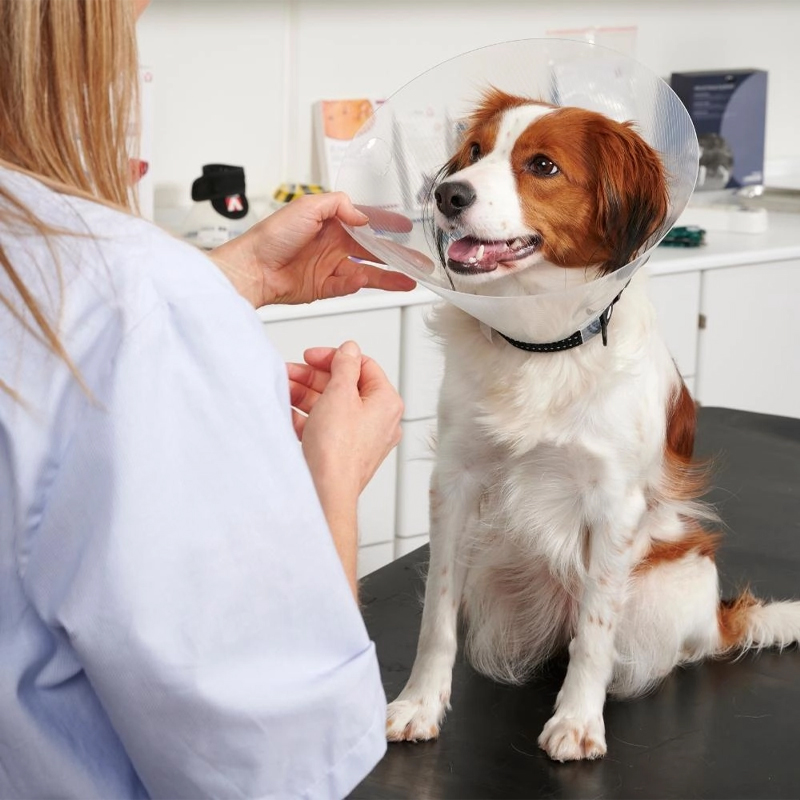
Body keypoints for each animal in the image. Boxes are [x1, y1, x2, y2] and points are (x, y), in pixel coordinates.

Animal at [385, 89, 800, 761]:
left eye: (543, 166)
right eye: (474, 152)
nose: (448, 195)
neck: (541, 346)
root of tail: (716, 620)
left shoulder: (613, 503)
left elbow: (594, 633)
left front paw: (578, 721)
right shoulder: (455, 482)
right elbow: (436, 618)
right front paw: (420, 704)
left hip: (663, 591)